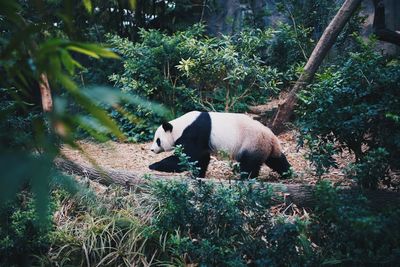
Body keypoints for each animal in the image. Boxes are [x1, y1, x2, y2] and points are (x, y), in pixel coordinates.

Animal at [149, 112, 290, 179]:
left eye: (158, 140)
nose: (152, 149)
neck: (180, 126)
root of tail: (272, 139)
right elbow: (202, 158)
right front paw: (198, 174)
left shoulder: (194, 132)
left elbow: (189, 157)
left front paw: (153, 165)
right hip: (266, 148)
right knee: (277, 160)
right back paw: (288, 173)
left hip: (252, 143)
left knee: (249, 164)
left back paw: (245, 179)